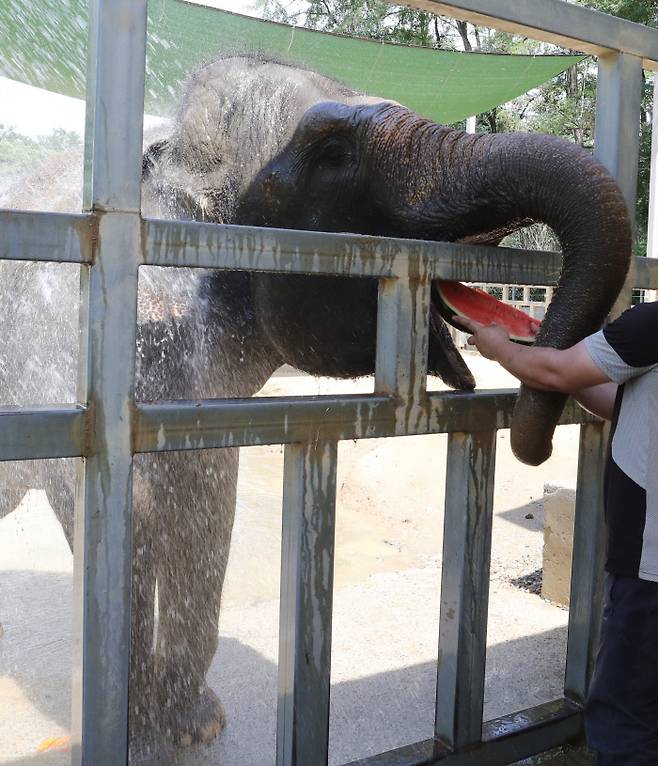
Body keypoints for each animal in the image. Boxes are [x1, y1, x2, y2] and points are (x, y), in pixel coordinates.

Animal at [0, 51, 628, 764]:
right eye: (333, 154)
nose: (538, 441)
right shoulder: (68, 354)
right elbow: (123, 509)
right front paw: (145, 737)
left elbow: (206, 496)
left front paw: (193, 725)